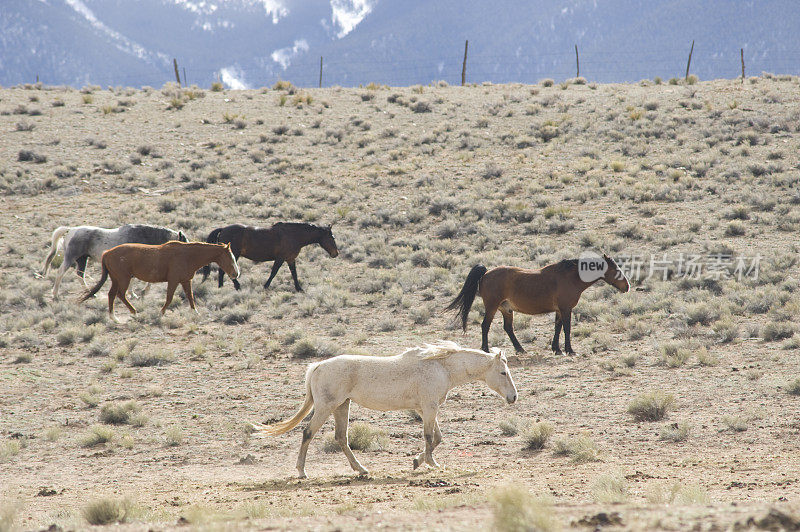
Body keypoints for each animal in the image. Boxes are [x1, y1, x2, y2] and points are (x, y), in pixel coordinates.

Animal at [44, 223, 188, 300]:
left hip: (82, 259)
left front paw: (140, 293)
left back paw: (90, 293)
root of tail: (71, 230)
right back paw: (55, 295)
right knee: (61, 273)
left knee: (80, 275)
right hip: (71, 257)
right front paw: (135, 294)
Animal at [79, 241, 239, 320]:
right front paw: (160, 313)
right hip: (124, 279)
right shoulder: (173, 281)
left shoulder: (186, 281)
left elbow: (190, 297)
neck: (187, 255)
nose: (236, 274)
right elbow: (169, 298)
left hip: (116, 279)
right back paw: (134, 312)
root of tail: (107, 253)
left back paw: (114, 318)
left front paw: (196, 313)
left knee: (112, 295)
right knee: (120, 295)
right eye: (230, 257)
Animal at [202, 222, 340, 294]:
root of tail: (223, 229)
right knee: (224, 271)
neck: (294, 235)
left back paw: (222, 287)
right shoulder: (280, 259)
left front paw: (299, 288)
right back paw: (235, 286)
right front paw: (266, 286)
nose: (336, 253)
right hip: (233, 255)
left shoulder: (290, 259)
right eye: (332, 238)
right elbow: (274, 272)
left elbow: (294, 274)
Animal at [256, 340, 520, 478]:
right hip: (325, 407)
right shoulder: (429, 408)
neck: (440, 367)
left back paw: (361, 470)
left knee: (341, 438)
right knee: (308, 433)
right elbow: (429, 438)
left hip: (342, 406)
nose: (513, 397)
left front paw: (417, 461)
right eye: (503, 372)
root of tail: (317, 366)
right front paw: (431, 464)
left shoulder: (427, 409)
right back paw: (301, 472)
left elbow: (436, 438)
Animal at [446, 256, 628, 356]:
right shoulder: (566, 309)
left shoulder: (559, 310)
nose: (627, 287)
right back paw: (486, 349)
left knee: (508, 328)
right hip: (492, 307)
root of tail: (486, 273)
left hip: (506, 309)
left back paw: (520, 349)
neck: (569, 278)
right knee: (485, 326)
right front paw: (569, 350)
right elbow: (567, 329)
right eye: (616, 270)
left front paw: (557, 349)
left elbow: (557, 328)